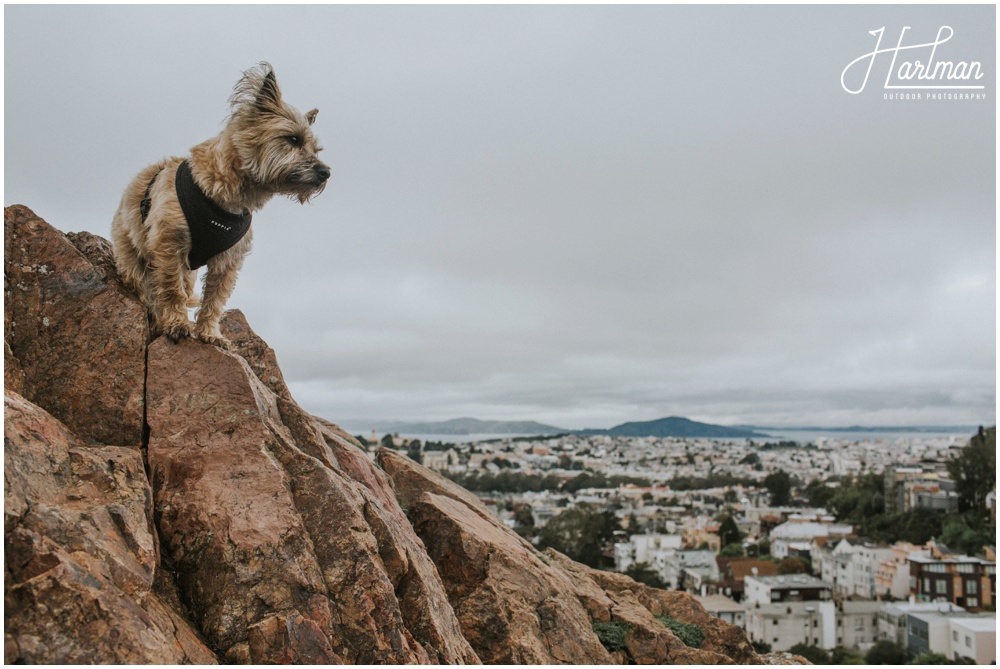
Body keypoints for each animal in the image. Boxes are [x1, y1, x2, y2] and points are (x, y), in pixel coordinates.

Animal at [110, 62, 328, 350]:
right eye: (293, 139)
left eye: (317, 150)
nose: (326, 173)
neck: (225, 196)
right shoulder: (168, 246)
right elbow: (170, 289)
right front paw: (176, 323)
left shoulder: (228, 262)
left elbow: (214, 300)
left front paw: (209, 333)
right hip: (133, 258)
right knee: (148, 287)